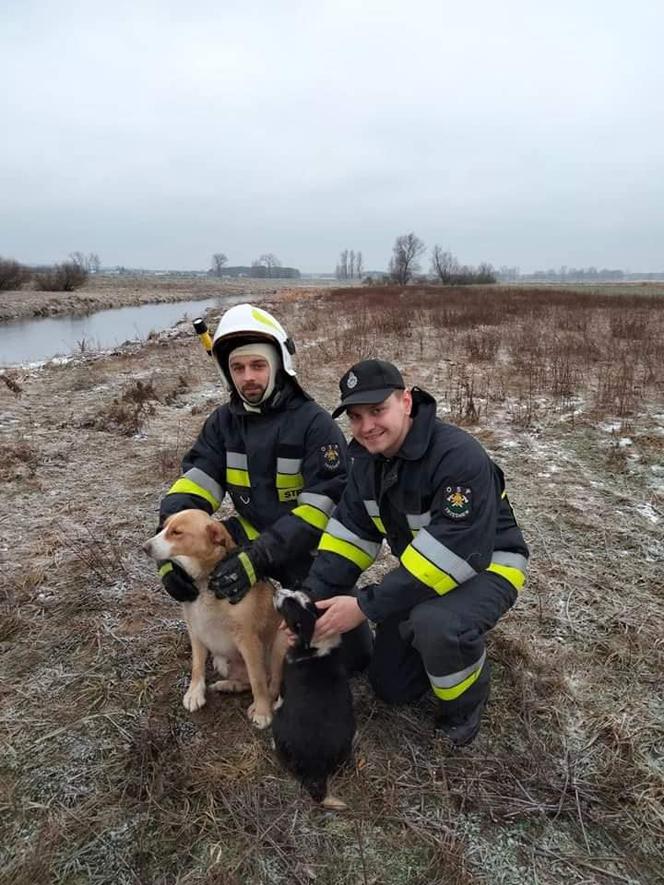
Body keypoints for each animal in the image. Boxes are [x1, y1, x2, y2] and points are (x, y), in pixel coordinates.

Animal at [143, 508, 286, 728]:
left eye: (177, 532)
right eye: (164, 527)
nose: (145, 547)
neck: (205, 582)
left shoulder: (248, 640)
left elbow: (258, 680)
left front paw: (262, 711)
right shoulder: (196, 630)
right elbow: (196, 667)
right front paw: (194, 693)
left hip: (280, 642)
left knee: (271, 684)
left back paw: (263, 703)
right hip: (222, 661)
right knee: (245, 681)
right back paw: (229, 685)